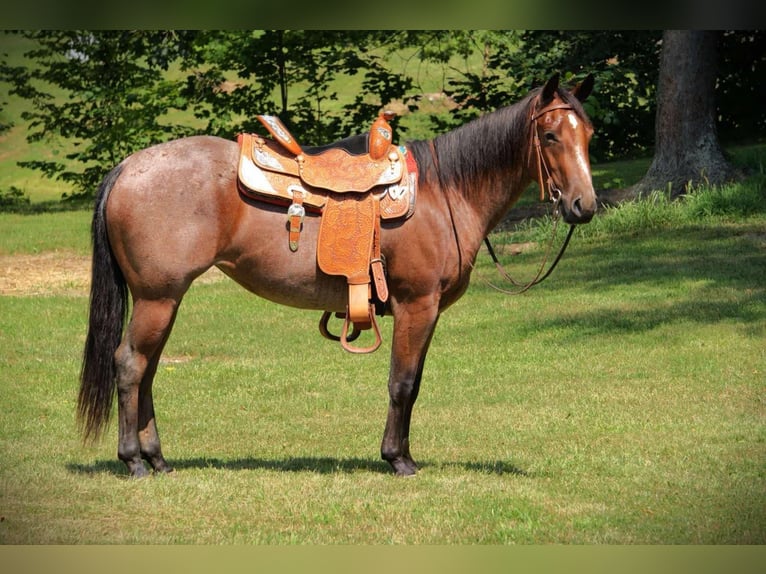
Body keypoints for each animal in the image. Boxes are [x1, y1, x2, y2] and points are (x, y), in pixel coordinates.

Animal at [78, 73, 597, 478]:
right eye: (551, 136)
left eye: (588, 134)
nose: (584, 206)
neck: (443, 193)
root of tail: (128, 166)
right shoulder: (417, 305)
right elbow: (403, 383)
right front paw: (398, 459)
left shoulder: (424, 312)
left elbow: (414, 382)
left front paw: (401, 453)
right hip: (157, 298)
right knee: (130, 365)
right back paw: (134, 460)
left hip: (164, 301)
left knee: (146, 370)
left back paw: (158, 458)